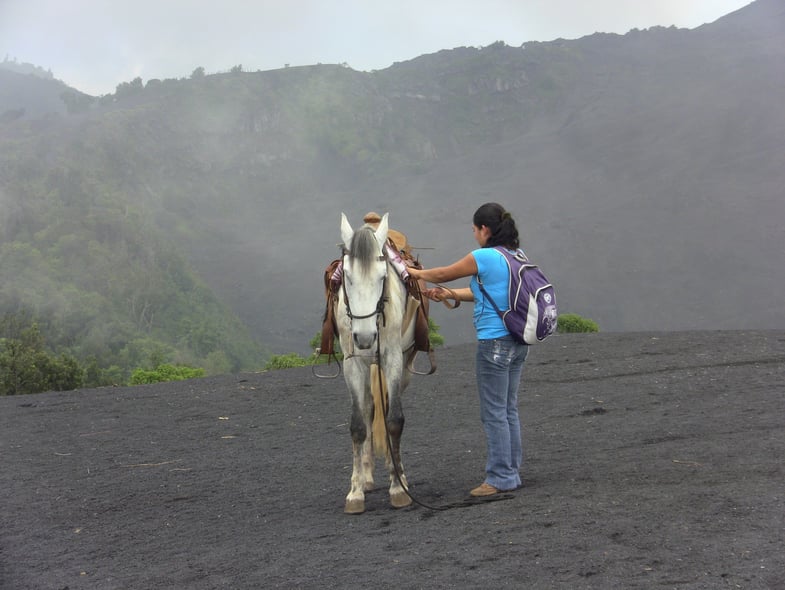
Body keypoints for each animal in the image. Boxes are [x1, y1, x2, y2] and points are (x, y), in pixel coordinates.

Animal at [338, 213, 422, 512]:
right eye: (346, 277)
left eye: (383, 277)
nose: (364, 337)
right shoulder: (352, 363)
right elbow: (358, 423)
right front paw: (354, 492)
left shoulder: (392, 357)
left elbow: (394, 419)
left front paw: (398, 487)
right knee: (369, 407)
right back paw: (366, 476)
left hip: (404, 364)